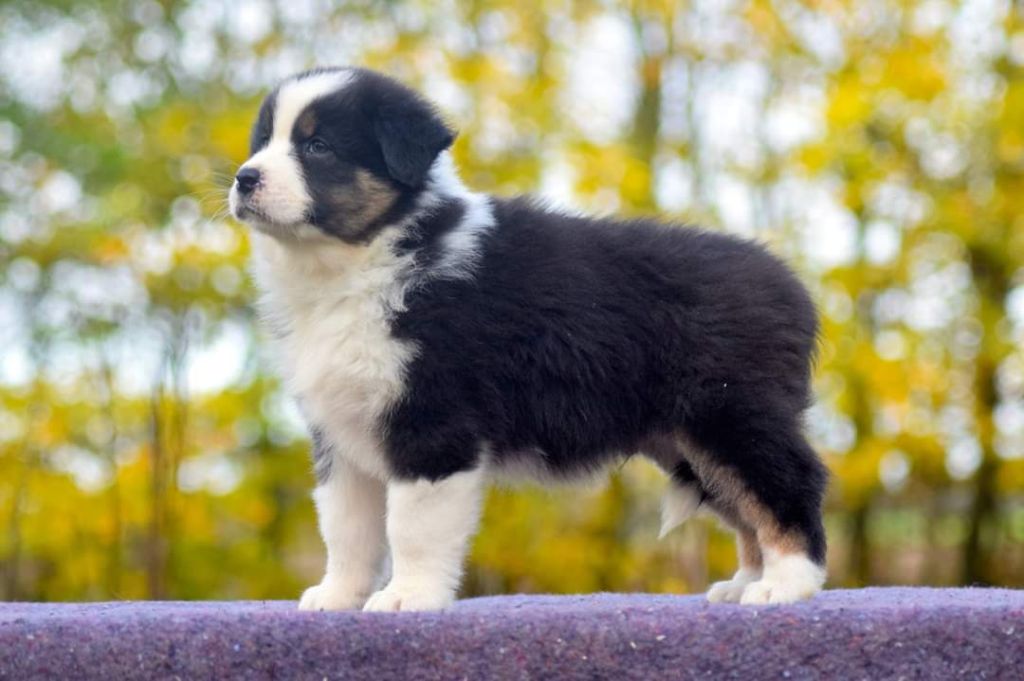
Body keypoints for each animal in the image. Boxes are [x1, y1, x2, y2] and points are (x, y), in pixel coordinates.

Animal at [228, 67, 828, 611]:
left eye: (318, 146)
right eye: (262, 143)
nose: (243, 178)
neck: (363, 260)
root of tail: (793, 286)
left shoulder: (433, 422)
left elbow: (412, 525)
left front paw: (408, 597)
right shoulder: (342, 430)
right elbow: (345, 527)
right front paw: (337, 597)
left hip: (731, 411)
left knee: (787, 482)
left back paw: (784, 584)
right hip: (688, 440)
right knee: (741, 501)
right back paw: (746, 581)